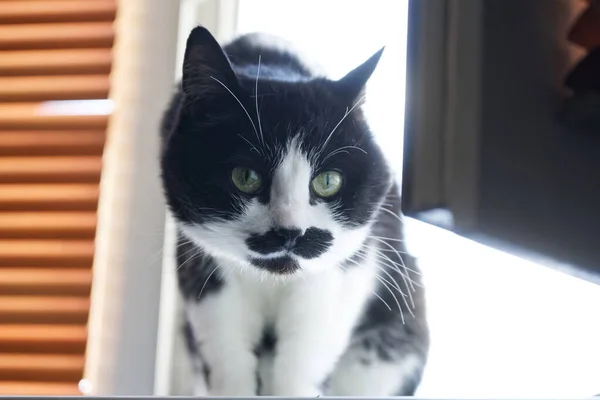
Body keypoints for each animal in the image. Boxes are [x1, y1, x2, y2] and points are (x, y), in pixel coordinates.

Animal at [162, 25, 428, 396]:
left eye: (328, 181)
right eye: (245, 177)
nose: (290, 233)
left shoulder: (336, 277)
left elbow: (303, 363)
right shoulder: (204, 270)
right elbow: (228, 358)